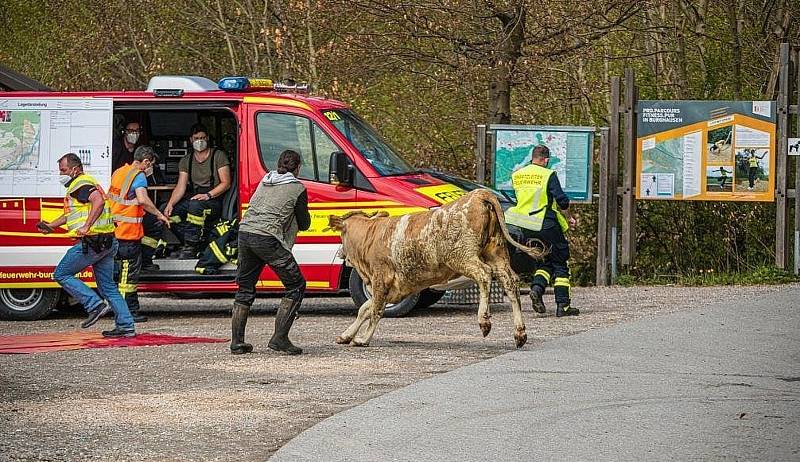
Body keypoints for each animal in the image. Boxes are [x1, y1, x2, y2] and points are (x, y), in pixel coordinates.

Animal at [328, 189, 548, 348]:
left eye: (341, 234)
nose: (340, 253)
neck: (371, 236)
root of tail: (479, 194)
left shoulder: (381, 280)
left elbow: (375, 310)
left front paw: (363, 339)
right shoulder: (397, 289)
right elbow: (365, 308)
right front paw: (346, 335)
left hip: (463, 257)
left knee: (484, 274)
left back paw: (484, 321)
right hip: (497, 256)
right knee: (510, 283)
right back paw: (519, 333)